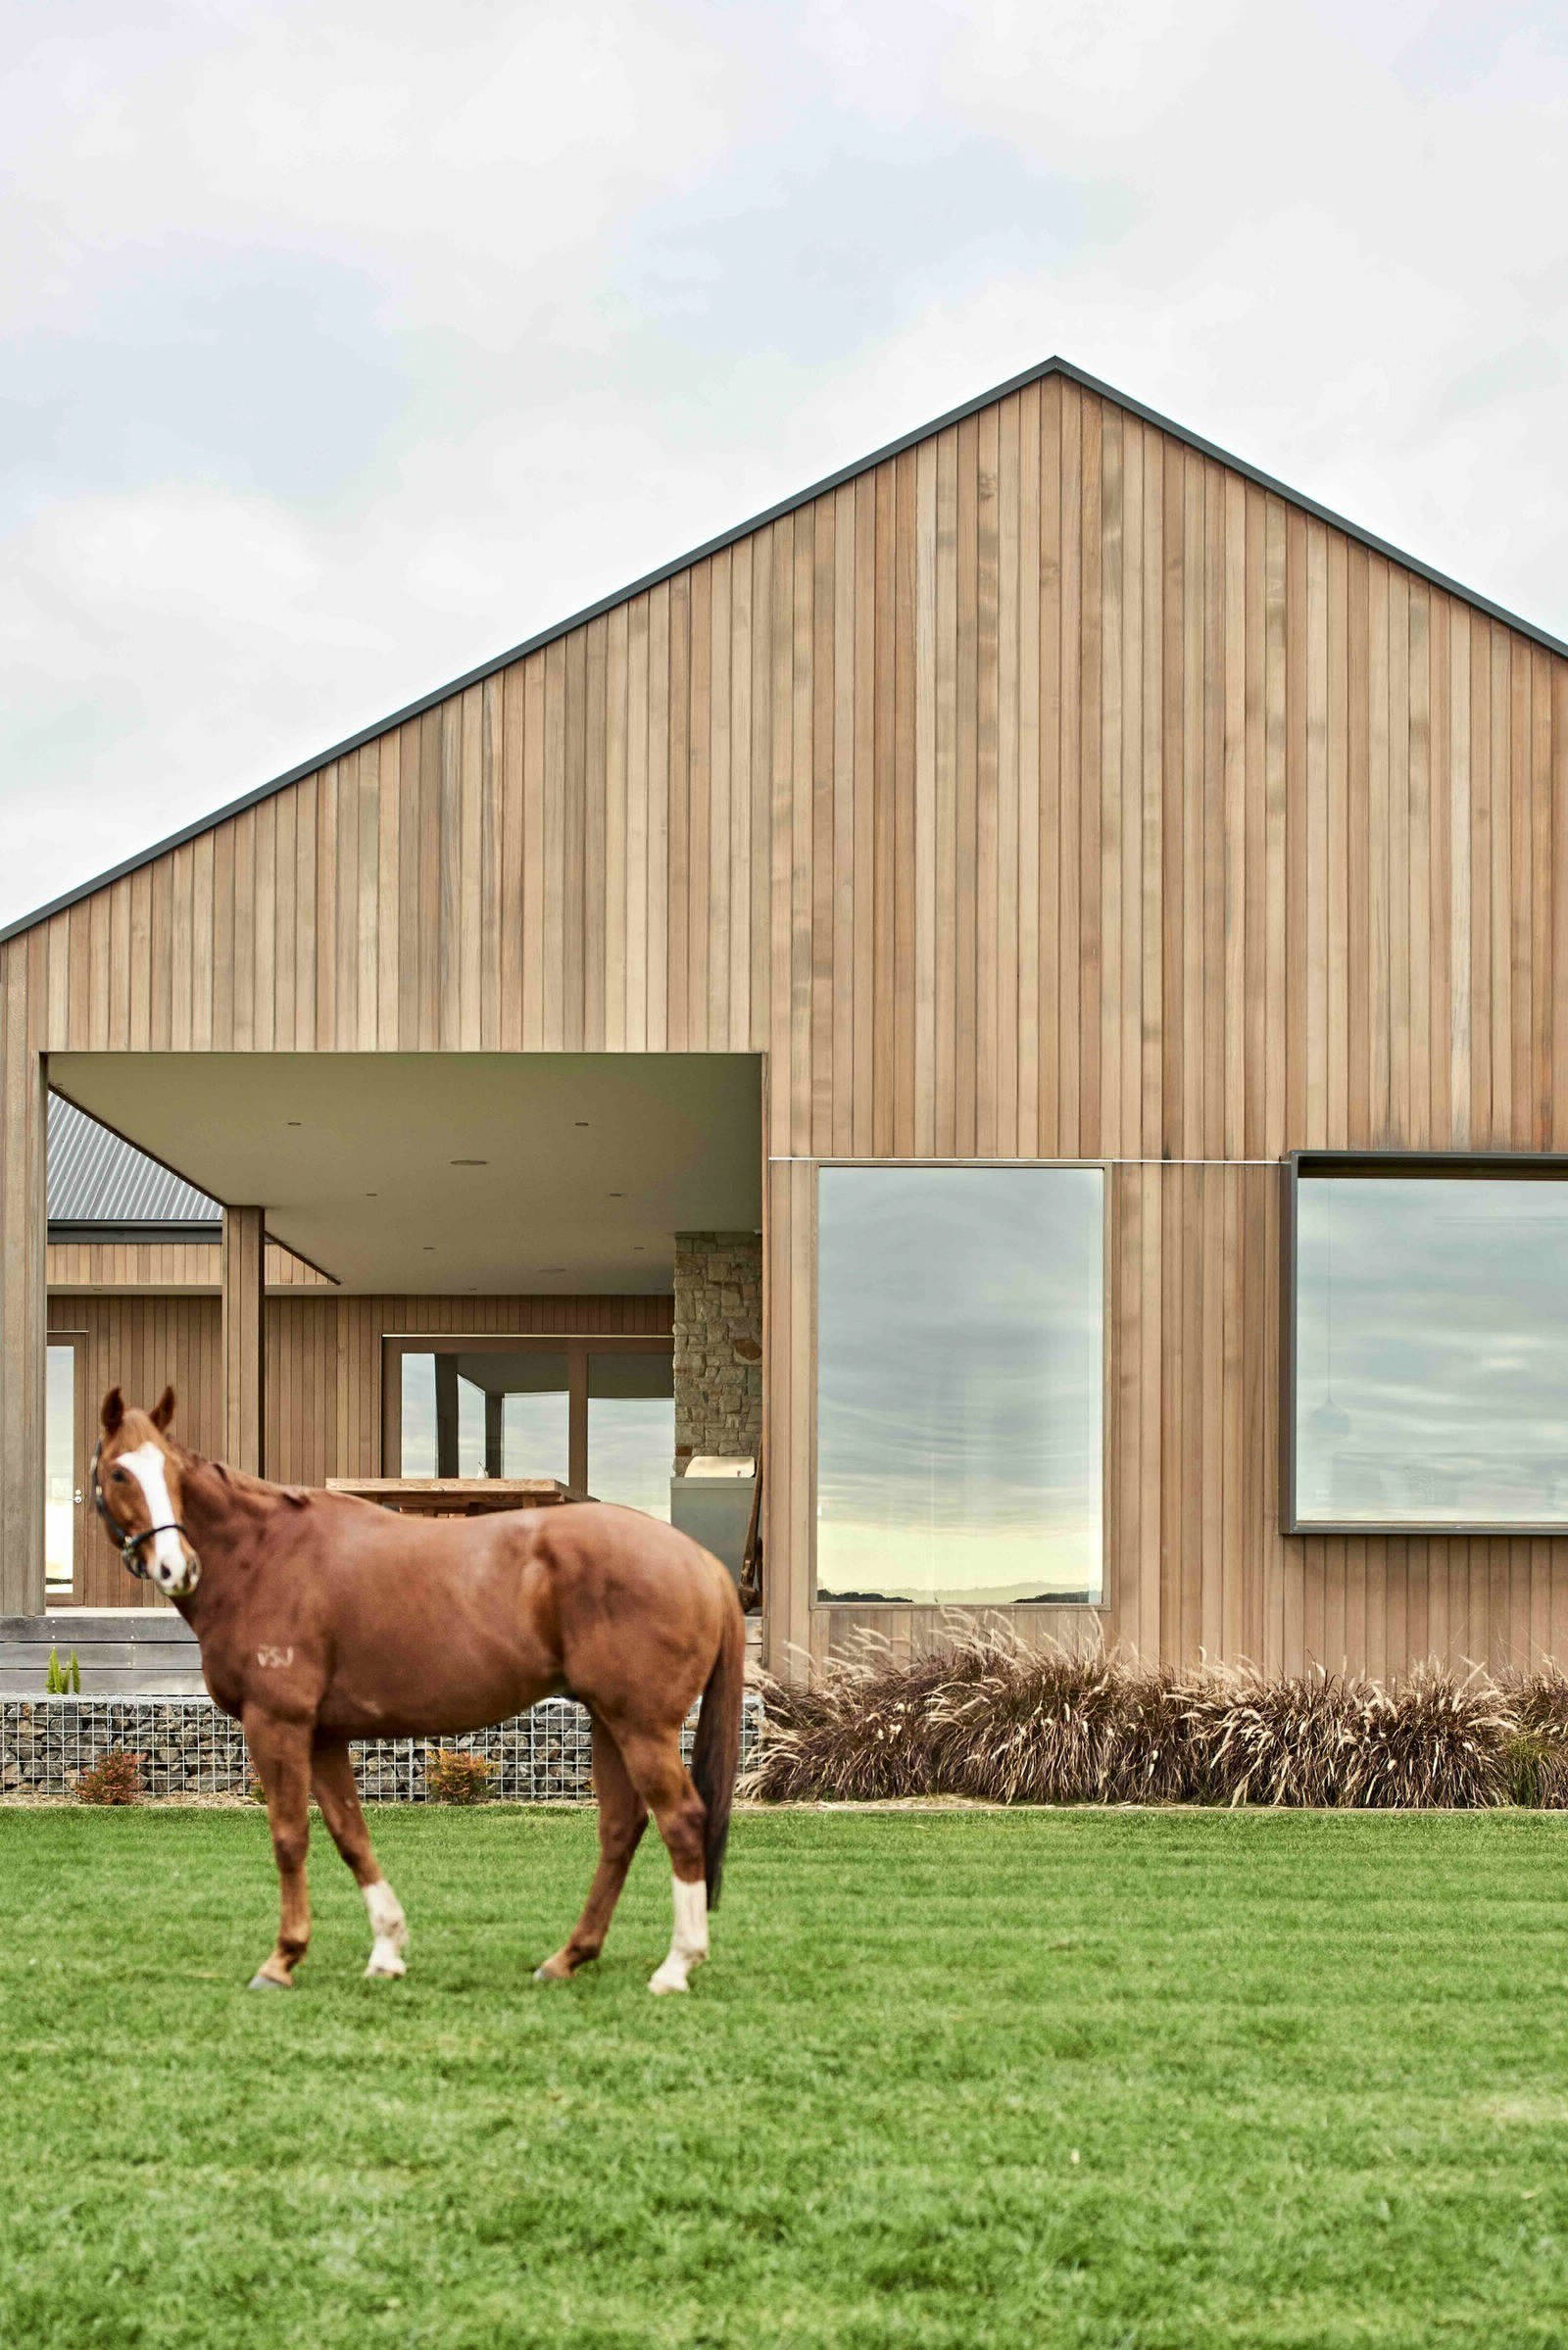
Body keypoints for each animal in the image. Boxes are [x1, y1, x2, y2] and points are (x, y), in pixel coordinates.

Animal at [90, 1382, 747, 1992]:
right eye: (120, 1471)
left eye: (171, 1473)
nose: (177, 1566)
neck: (265, 1556)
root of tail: (701, 1562)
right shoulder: (323, 1736)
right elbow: (350, 1835)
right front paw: (386, 1952)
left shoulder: (277, 1722)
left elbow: (290, 1836)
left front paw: (281, 1959)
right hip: (611, 1723)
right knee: (619, 1829)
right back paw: (568, 1957)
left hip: (642, 1727)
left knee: (681, 1820)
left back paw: (676, 1966)